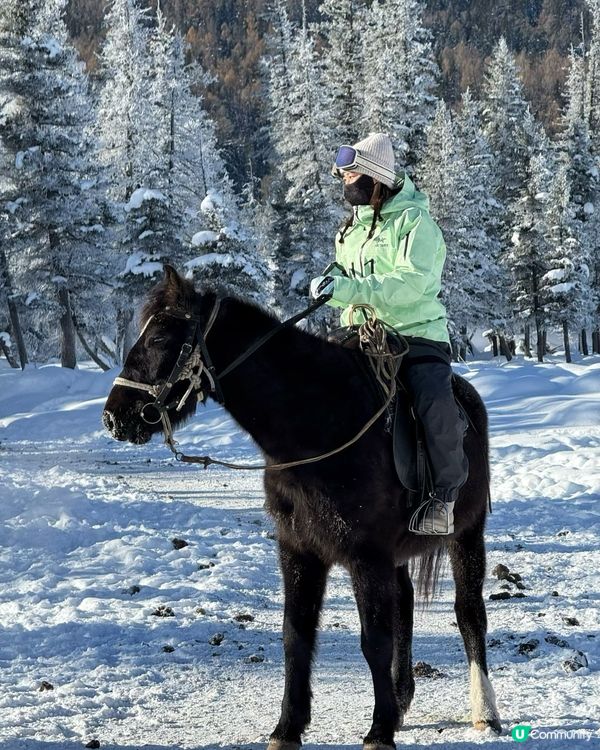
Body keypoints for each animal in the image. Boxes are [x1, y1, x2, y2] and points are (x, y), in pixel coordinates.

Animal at [103, 266, 502, 749]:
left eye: (160, 337)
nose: (114, 417)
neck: (318, 425)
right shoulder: (299, 550)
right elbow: (296, 635)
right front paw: (288, 727)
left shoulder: (366, 556)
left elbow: (375, 641)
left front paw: (379, 731)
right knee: (405, 606)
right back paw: (403, 699)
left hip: (467, 533)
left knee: (469, 613)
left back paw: (485, 711)